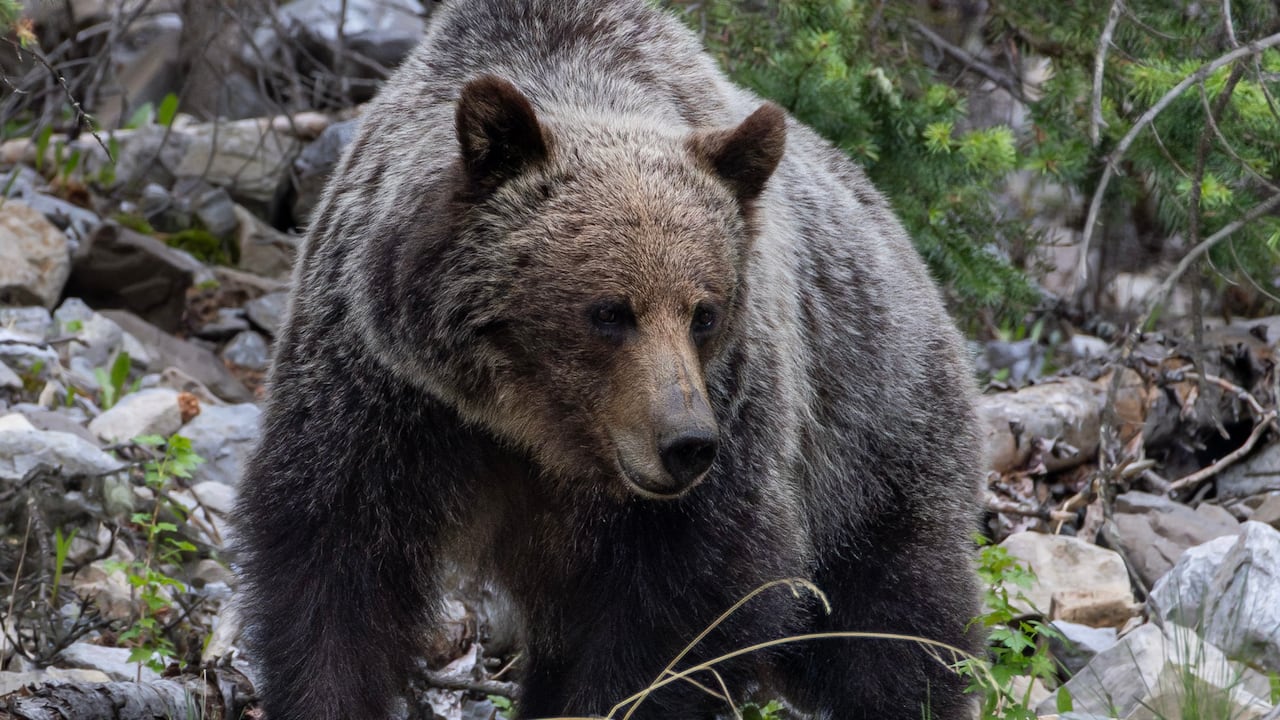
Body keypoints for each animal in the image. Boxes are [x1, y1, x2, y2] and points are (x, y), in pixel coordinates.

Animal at [233, 1, 983, 718]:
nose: (687, 444)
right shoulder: (383, 391)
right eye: (609, 311)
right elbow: (335, 566)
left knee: (891, 624)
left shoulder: (729, 429)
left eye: (704, 313)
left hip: (872, 437)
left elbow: (680, 611)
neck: (534, 427)